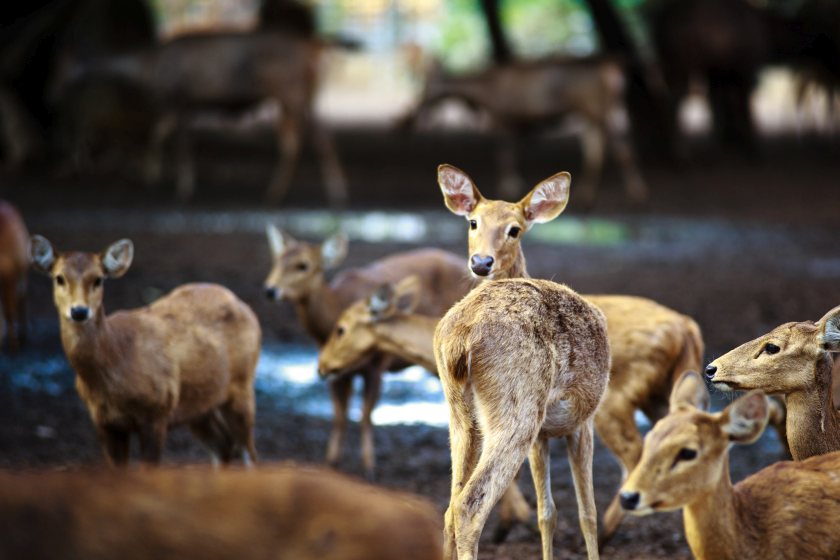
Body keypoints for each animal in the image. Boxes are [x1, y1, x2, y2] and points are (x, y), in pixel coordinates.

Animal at [29, 235, 260, 466]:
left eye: (98, 279)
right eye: (59, 278)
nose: (79, 311)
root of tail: (244, 306)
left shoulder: (157, 411)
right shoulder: (103, 422)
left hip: (241, 385)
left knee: (248, 452)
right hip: (199, 405)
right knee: (223, 446)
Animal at [263, 227, 470, 479]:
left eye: (303, 265)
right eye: (277, 259)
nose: (271, 290)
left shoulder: (376, 367)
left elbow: (365, 414)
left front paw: (369, 467)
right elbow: (340, 416)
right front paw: (331, 463)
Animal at [402, 57, 647, 206]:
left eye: (426, 85)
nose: (411, 117)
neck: (482, 95)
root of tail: (614, 74)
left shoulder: (503, 119)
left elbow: (504, 155)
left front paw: (510, 185)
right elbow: (509, 154)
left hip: (596, 109)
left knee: (620, 148)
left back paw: (636, 194)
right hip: (597, 112)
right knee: (597, 148)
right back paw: (587, 194)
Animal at [436, 164, 705, 542]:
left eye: (514, 229)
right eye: (472, 222)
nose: (482, 262)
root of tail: (688, 328)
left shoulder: (557, 429)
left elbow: (557, 509)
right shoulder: (569, 424)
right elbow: (567, 509)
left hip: (476, 413)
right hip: (521, 410)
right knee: (463, 505)